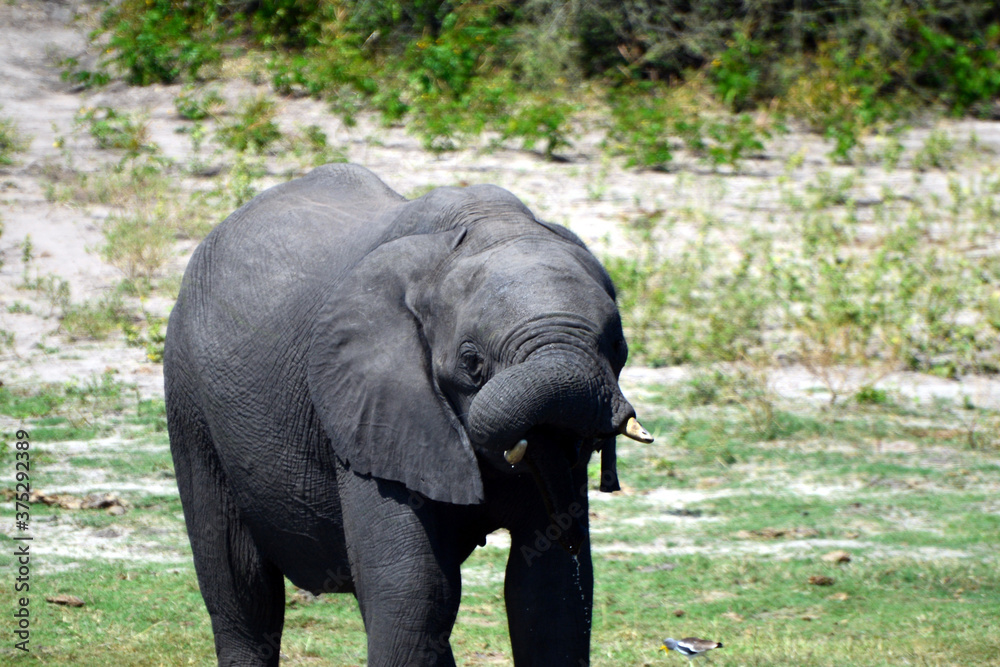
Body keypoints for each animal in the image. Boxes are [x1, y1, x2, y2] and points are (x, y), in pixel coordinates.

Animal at [167, 163, 652, 667]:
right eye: (471, 362)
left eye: (617, 346)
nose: (572, 532)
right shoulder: (373, 412)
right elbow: (414, 589)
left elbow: (549, 590)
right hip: (188, 396)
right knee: (240, 583)